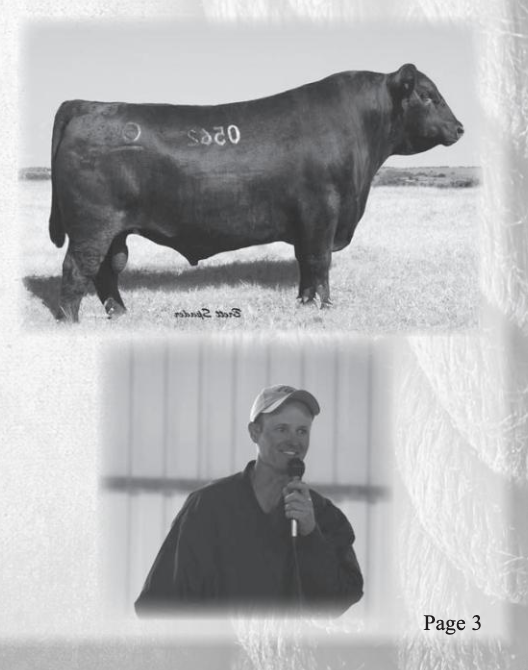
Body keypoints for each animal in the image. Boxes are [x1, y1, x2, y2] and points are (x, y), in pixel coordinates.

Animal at [49, 64, 463, 322]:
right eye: (428, 95)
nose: (459, 128)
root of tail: (88, 105)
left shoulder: (309, 223)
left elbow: (305, 264)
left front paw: (305, 302)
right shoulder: (323, 214)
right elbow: (319, 261)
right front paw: (324, 305)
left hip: (113, 231)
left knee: (107, 270)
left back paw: (119, 312)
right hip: (92, 225)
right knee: (77, 268)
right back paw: (71, 320)